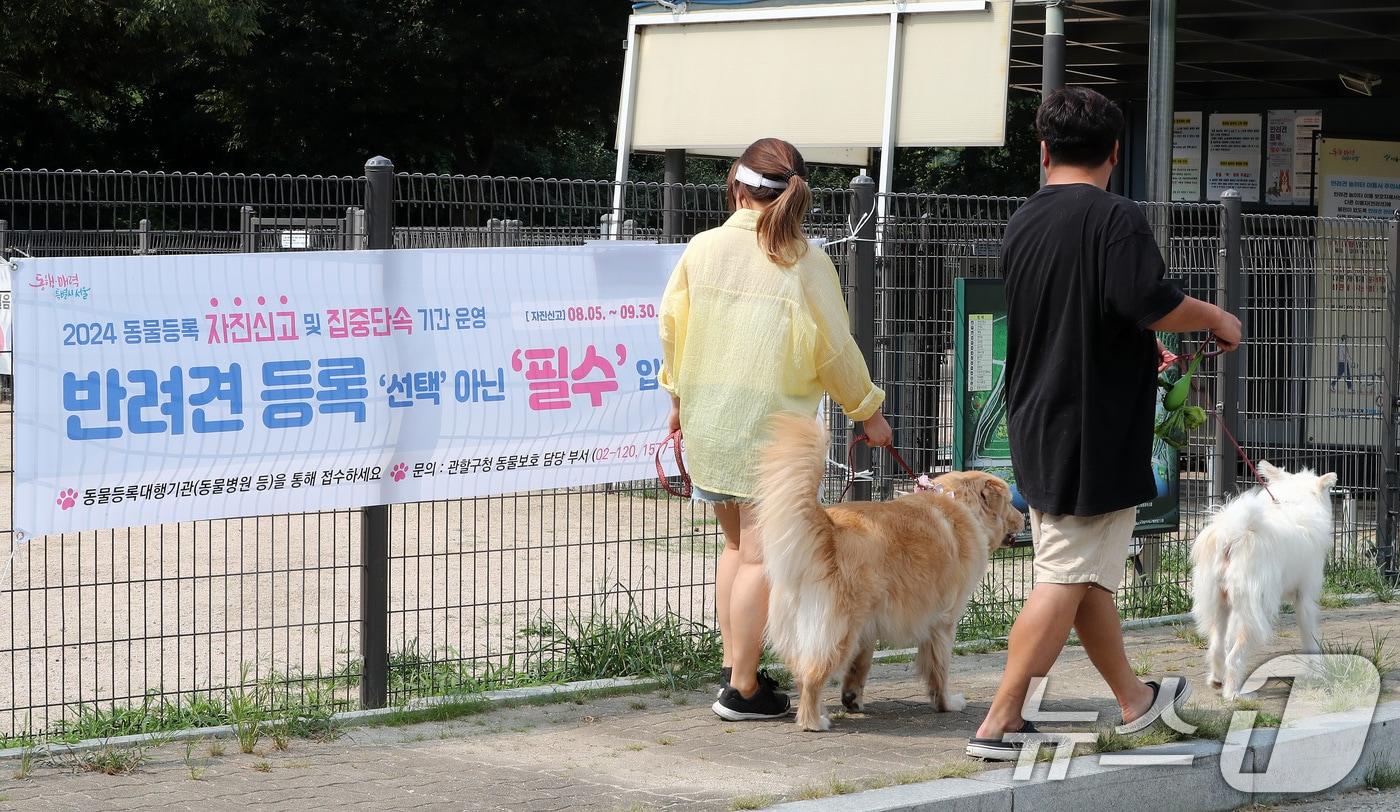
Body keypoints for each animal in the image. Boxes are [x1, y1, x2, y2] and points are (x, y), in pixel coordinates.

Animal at [761, 411, 1024, 728]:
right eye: (1010, 503)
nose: (1024, 517)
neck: (960, 504)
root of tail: (828, 528)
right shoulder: (943, 623)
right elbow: (940, 670)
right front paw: (947, 703)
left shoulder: (870, 626)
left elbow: (861, 666)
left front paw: (852, 698)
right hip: (840, 629)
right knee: (812, 675)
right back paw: (814, 721)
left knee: (801, 674)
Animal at [1187, 459, 1338, 700]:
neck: (1293, 502)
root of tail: (1234, 537)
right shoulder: (1305, 598)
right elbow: (1310, 637)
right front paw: (1319, 670)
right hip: (1255, 610)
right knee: (1235, 655)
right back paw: (1234, 694)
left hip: (1219, 603)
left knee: (1218, 647)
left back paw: (1217, 680)